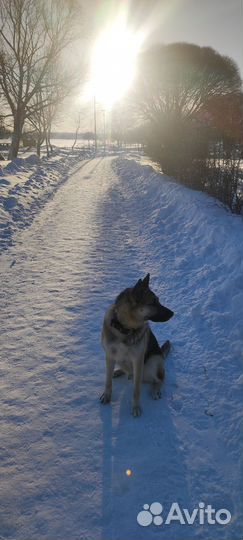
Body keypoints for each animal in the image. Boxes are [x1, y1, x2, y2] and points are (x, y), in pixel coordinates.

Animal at [99, 274, 174, 418]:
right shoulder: (109, 355)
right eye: (153, 303)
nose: (173, 313)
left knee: (160, 379)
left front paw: (136, 407)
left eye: (158, 301)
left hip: (151, 363)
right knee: (126, 370)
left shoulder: (138, 361)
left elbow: (136, 389)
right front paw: (107, 395)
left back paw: (155, 390)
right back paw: (118, 371)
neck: (124, 329)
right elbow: (107, 381)